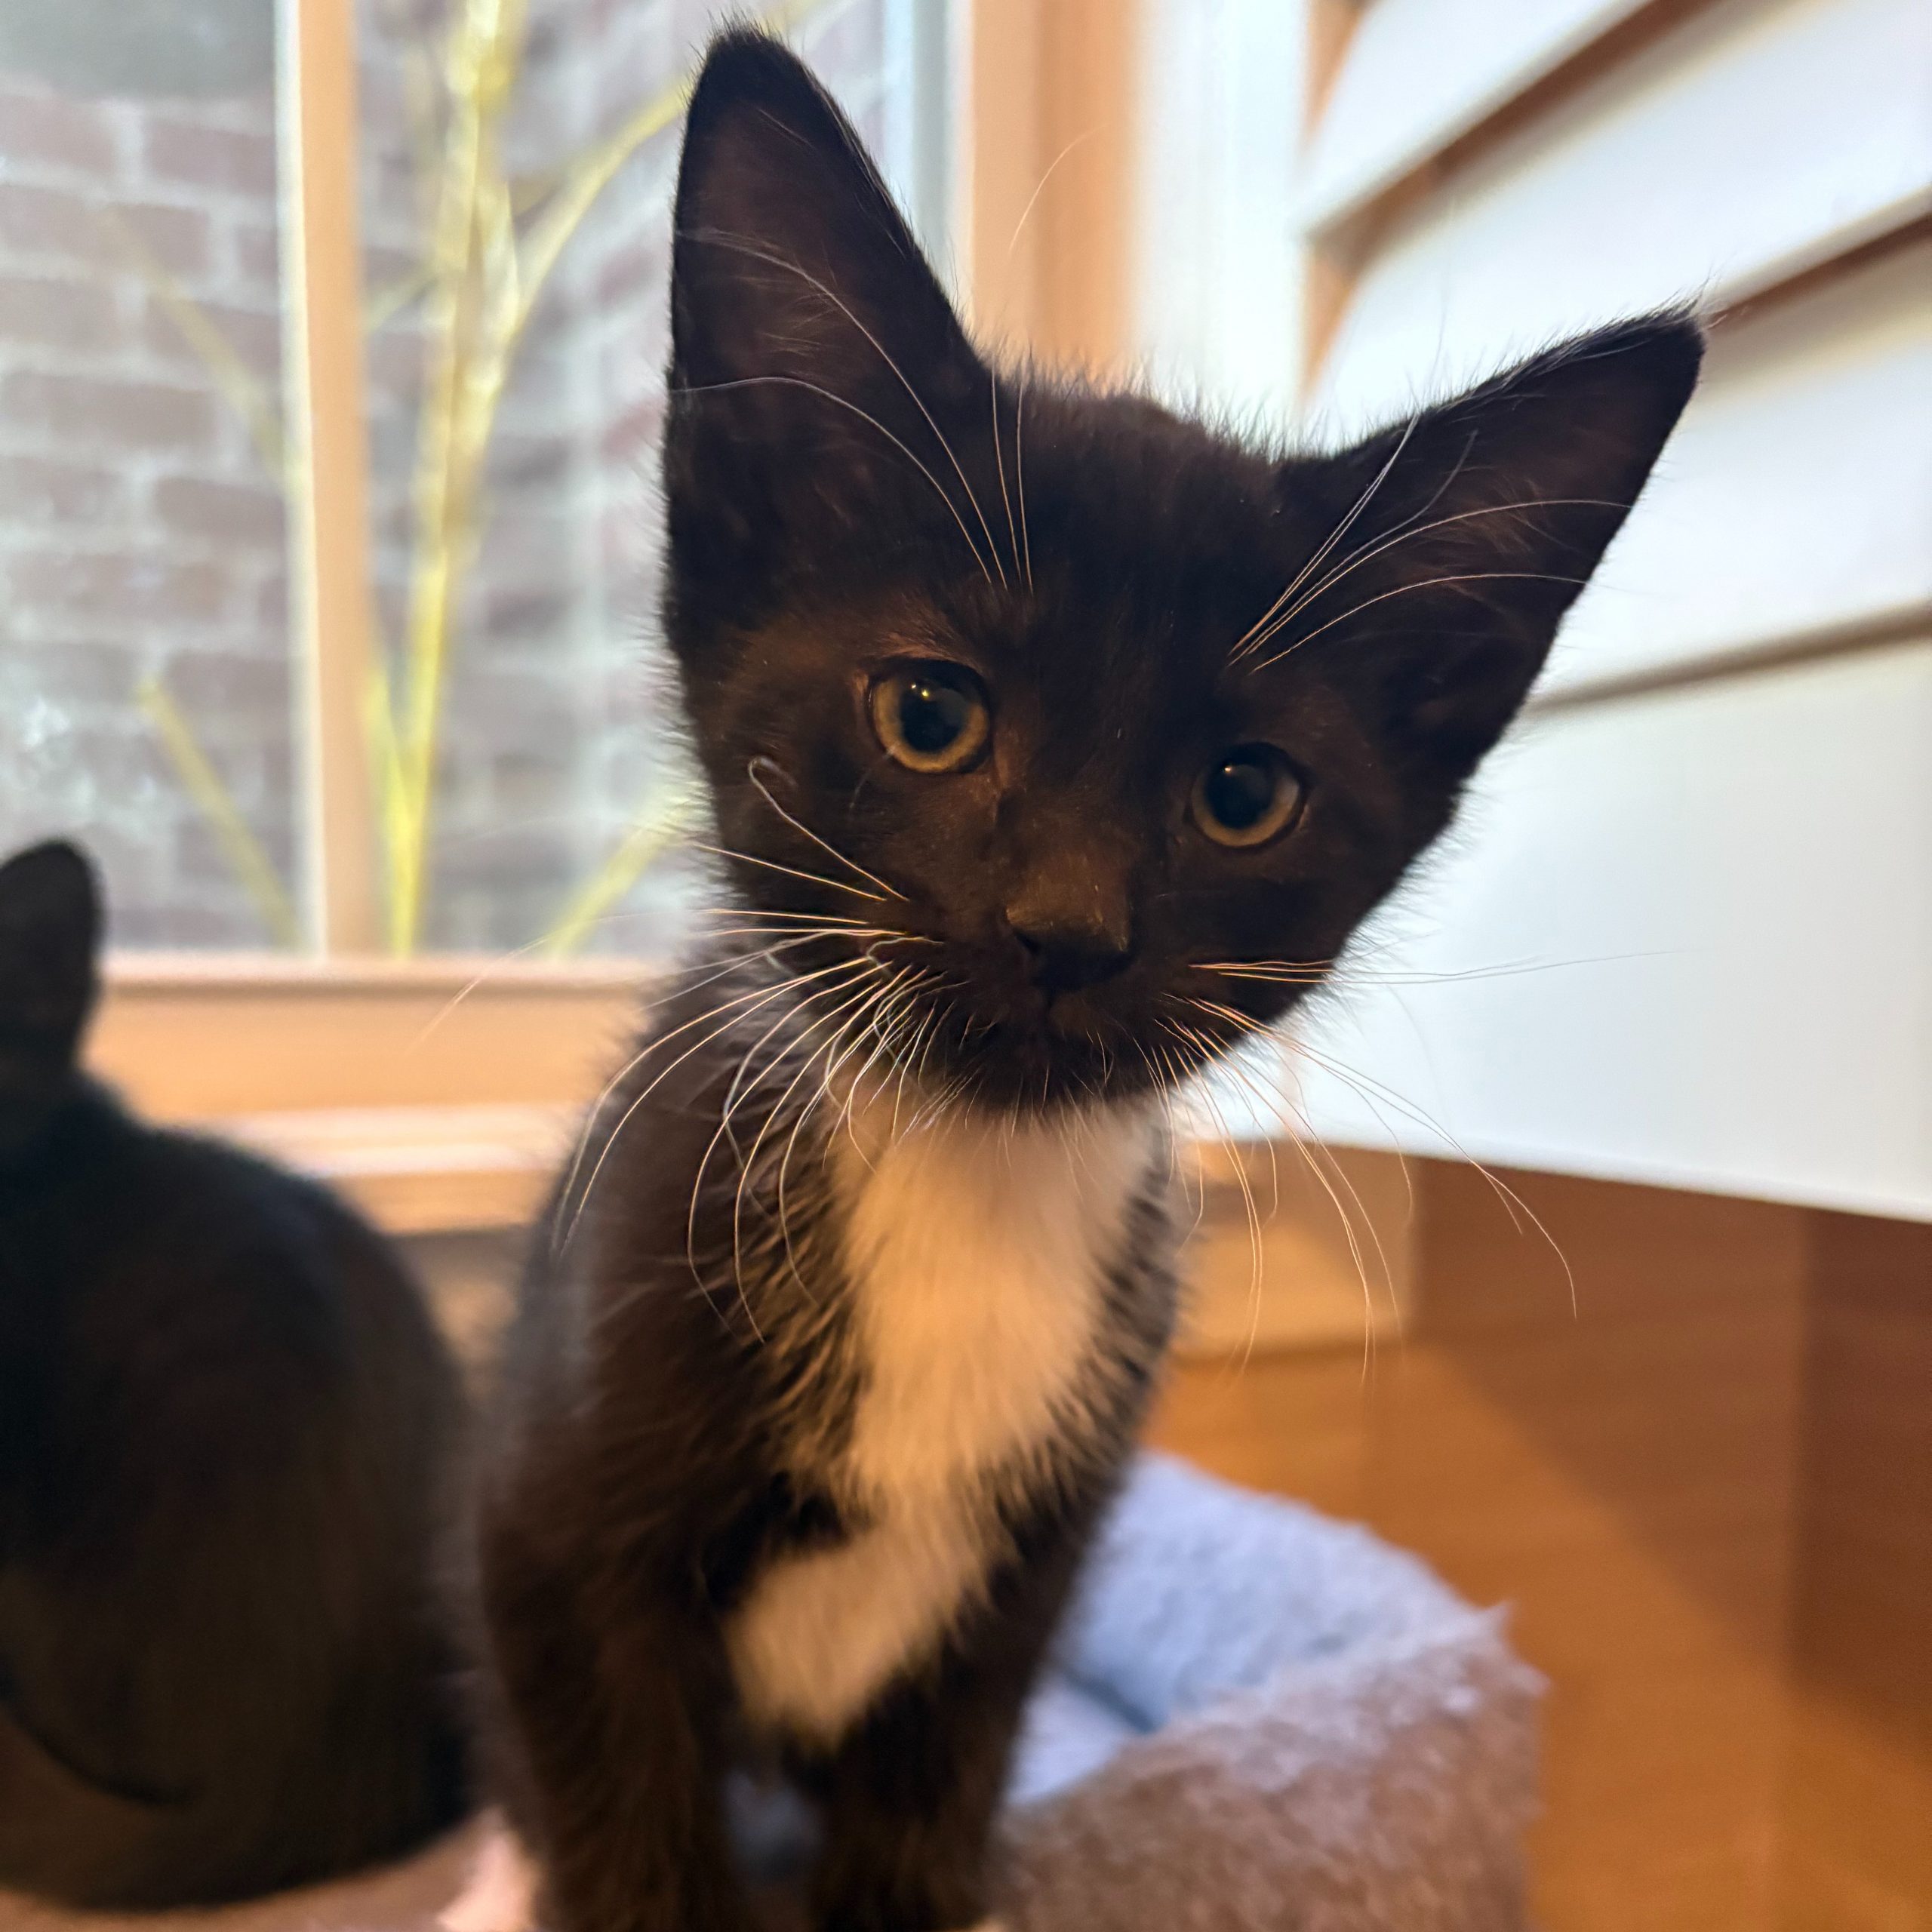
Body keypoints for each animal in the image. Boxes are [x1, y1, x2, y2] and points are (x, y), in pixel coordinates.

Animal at [468, 30, 1700, 1932]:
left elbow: (925, 1817)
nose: (1067, 924)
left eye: (1242, 793)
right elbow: (627, 1830)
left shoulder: (1023, 1586)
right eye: (928, 712)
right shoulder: (559, 1533)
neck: (963, 1174)